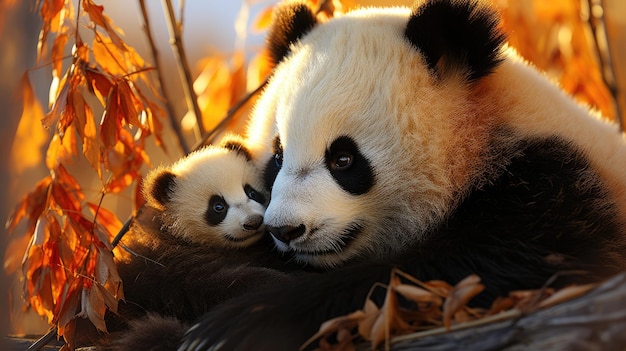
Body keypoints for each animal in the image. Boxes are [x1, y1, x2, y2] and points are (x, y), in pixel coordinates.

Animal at [180, 0, 626, 350]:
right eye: (277, 157)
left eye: (344, 159)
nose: (285, 230)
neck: (486, 132)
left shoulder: (558, 186)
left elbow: (479, 266)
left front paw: (241, 322)